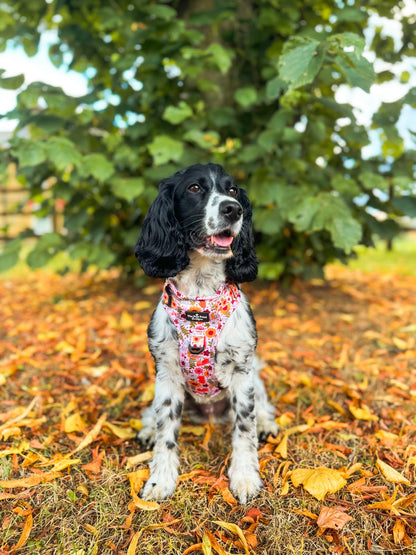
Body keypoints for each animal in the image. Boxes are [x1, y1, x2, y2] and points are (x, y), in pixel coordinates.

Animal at [135, 163, 278, 506]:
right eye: (195, 189)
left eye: (233, 190)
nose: (233, 209)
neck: (200, 298)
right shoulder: (167, 372)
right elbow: (166, 429)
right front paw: (160, 479)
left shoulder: (242, 371)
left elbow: (244, 429)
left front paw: (244, 477)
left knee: (262, 407)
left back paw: (267, 424)